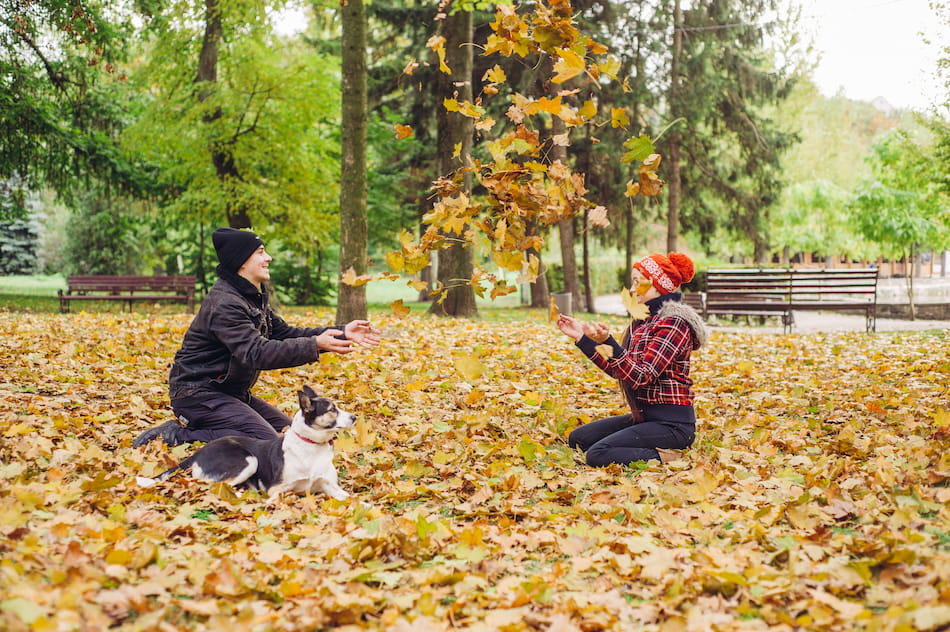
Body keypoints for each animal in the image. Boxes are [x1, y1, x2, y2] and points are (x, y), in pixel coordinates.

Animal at [142, 386, 360, 498]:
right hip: (249, 460)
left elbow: (355, 501)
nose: (355, 417)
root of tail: (199, 452)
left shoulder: (331, 487)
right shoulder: (276, 489)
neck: (312, 446)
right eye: (332, 410)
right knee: (212, 486)